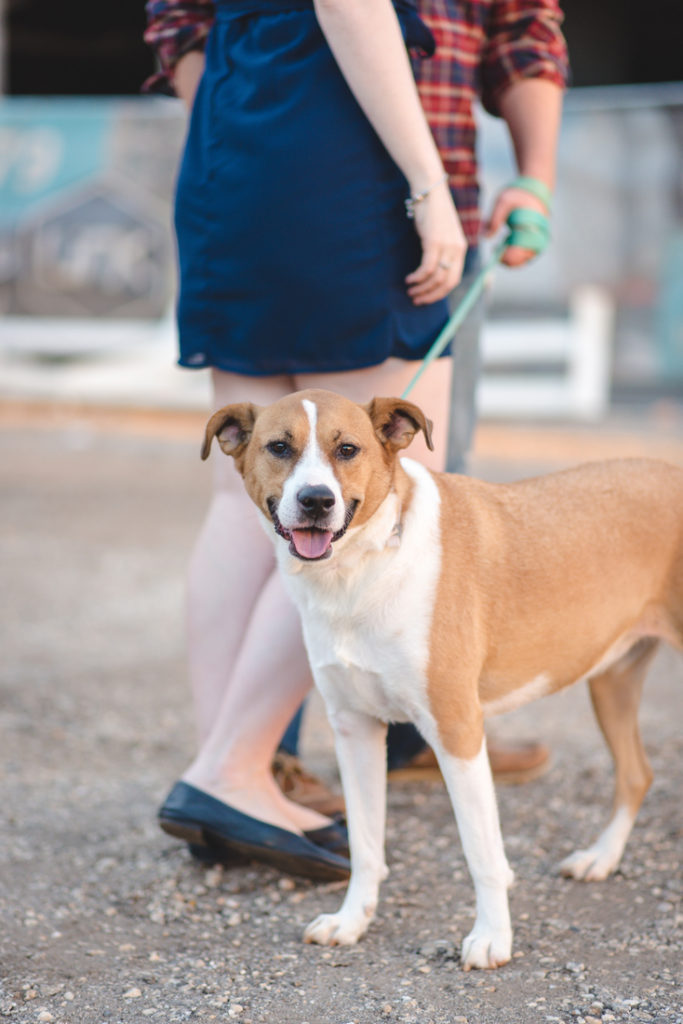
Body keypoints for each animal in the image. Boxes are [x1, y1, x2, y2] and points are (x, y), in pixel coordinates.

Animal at [201, 389, 683, 966]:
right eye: (279, 447)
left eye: (347, 449)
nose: (317, 500)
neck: (360, 569)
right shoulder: (355, 731)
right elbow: (366, 845)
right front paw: (352, 920)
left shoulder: (458, 731)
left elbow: (482, 853)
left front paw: (493, 937)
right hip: (612, 681)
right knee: (636, 774)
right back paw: (601, 858)